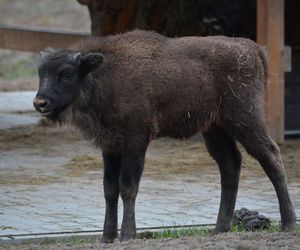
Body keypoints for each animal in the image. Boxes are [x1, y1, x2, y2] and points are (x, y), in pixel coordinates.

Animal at [34, 29, 296, 242]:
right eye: (41, 74)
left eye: (67, 74)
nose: (40, 103)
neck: (104, 73)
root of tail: (250, 48)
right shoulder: (110, 146)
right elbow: (109, 189)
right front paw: (106, 237)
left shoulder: (135, 142)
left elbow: (127, 187)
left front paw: (127, 235)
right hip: (215, 128)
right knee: (230, 164)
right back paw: (220, 229)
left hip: (245, 120)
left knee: (271, 156)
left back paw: (288, 224)